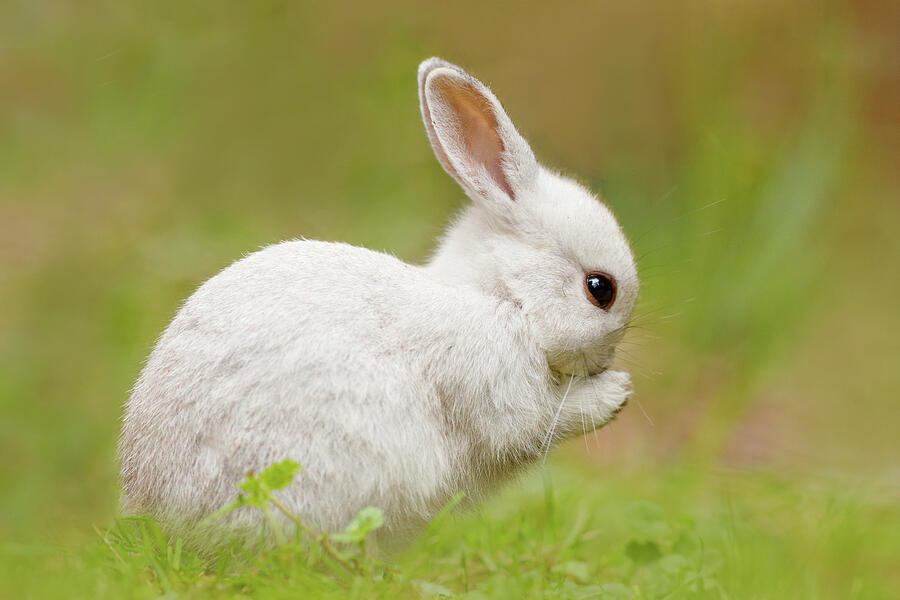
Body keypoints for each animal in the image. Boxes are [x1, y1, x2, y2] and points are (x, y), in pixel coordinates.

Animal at [121, 58, 640, 552]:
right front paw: (616, 393)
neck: (500, 294)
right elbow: (539, 422)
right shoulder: (498, 391)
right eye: (600, 288)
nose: (606, 361)